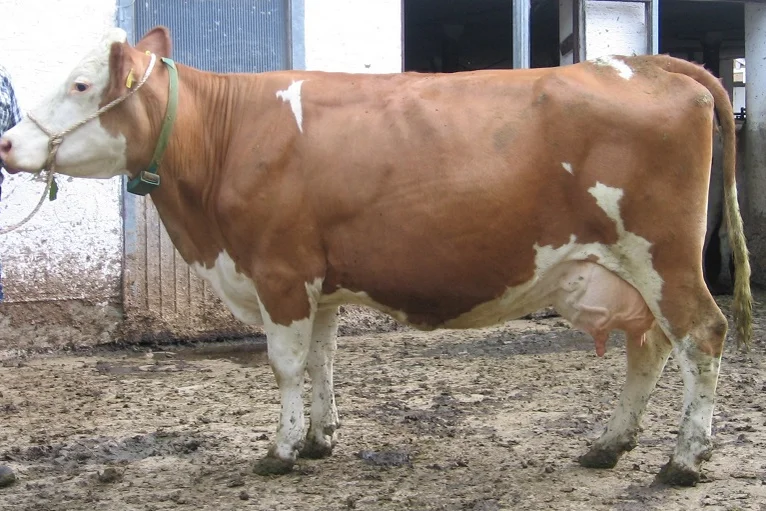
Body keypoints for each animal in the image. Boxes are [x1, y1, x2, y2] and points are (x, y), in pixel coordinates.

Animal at [0, 27, 752, 486]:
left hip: (663, 256)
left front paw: (279, 451)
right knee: (650, 345)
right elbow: (322, 361)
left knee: (701, 335)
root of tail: (642, 62)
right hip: (634, 268)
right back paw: (609, 443)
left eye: (79, 85)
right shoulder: (318, 281)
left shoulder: (278, 273)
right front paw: (319, 438)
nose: (8, 143)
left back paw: (685, 459)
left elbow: (284, 366)